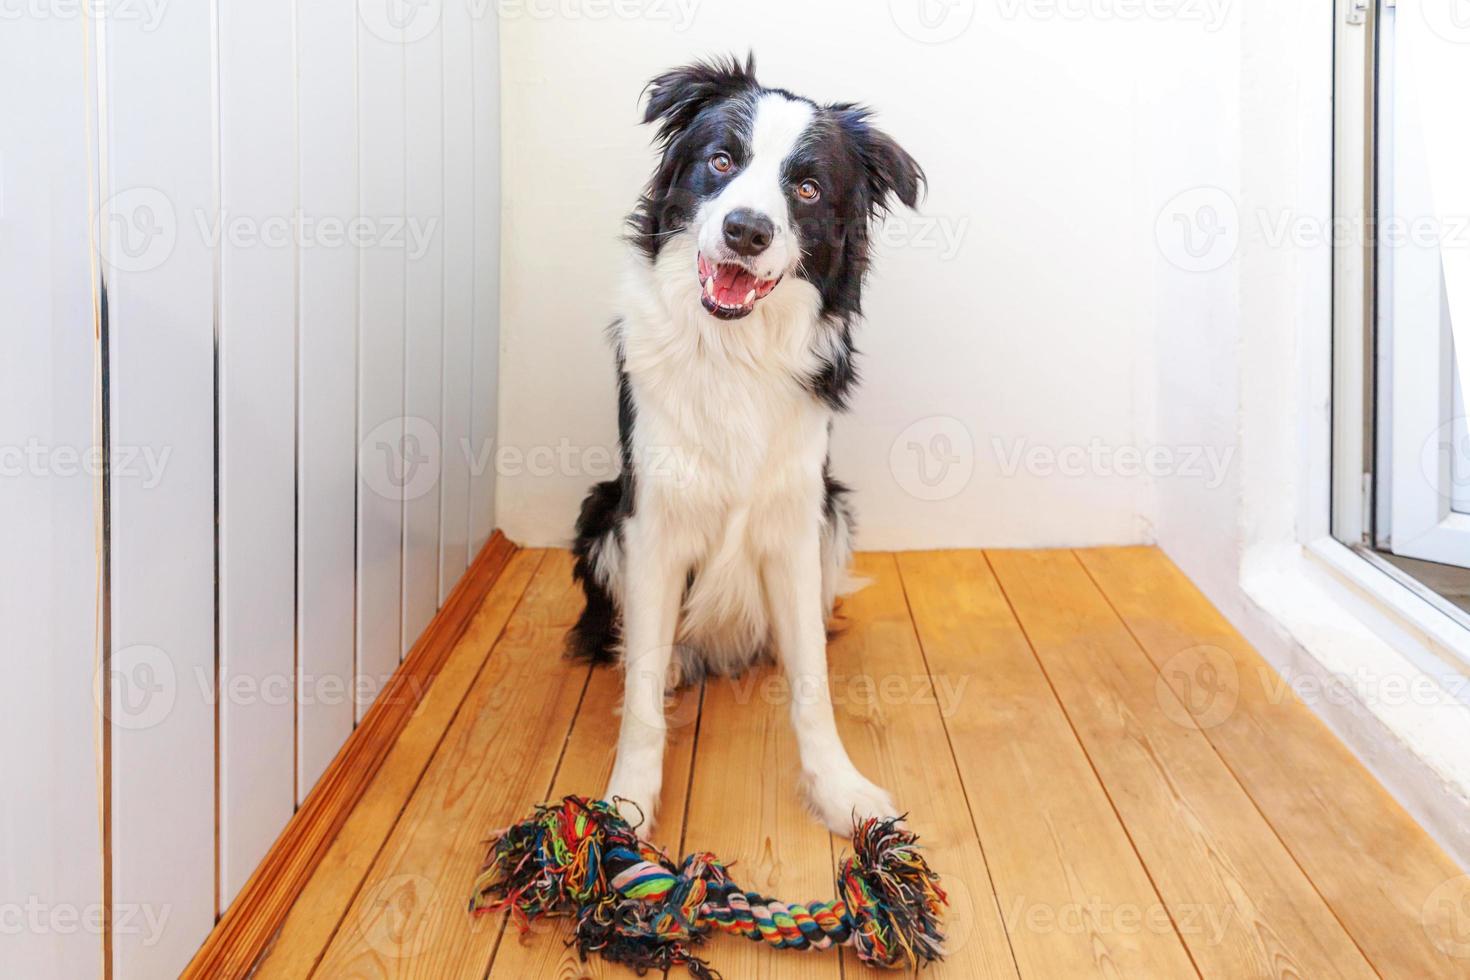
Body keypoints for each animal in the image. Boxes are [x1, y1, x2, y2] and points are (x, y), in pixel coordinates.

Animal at [567, 53, 923, 834]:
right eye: (722, 160)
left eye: (808, 187)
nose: (746, 231)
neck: (733, 348)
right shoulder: (650, 520)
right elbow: (640, 699)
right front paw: (626, 807)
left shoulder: (795, 519)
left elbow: (813, 687)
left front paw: (840, 790)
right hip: (600, 511)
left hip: (835, 512)